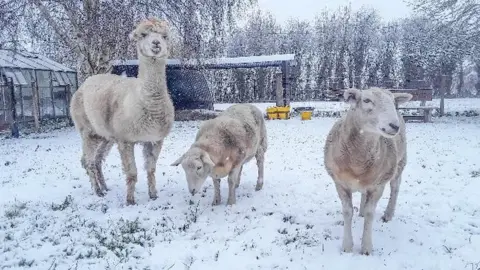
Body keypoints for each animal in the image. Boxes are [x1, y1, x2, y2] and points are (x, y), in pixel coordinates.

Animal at [70, 18, 175, 205]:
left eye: (165, 36)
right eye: (143, 35)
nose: (156, 43)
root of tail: (84, 83)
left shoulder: (155, 139)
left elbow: (151, 169)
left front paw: (153, 195)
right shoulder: (125, 139)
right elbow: (132, 173)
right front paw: (130, 201)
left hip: (105, 136)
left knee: (96, 159)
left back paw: (104, 187)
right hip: (86, 128)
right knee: (88, 160)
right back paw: (97, 191)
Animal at [324, 87, 414, 255]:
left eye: (393, 102)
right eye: (366, 100)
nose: (394, 126)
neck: (357, 163)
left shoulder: (378, 185)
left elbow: (370, 214)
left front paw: (366, 247)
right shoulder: (340, 183)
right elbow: (347, 212)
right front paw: (347, 246)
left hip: (400, 163)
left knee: (395, 187)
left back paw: (388, 214)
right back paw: (361, 210)